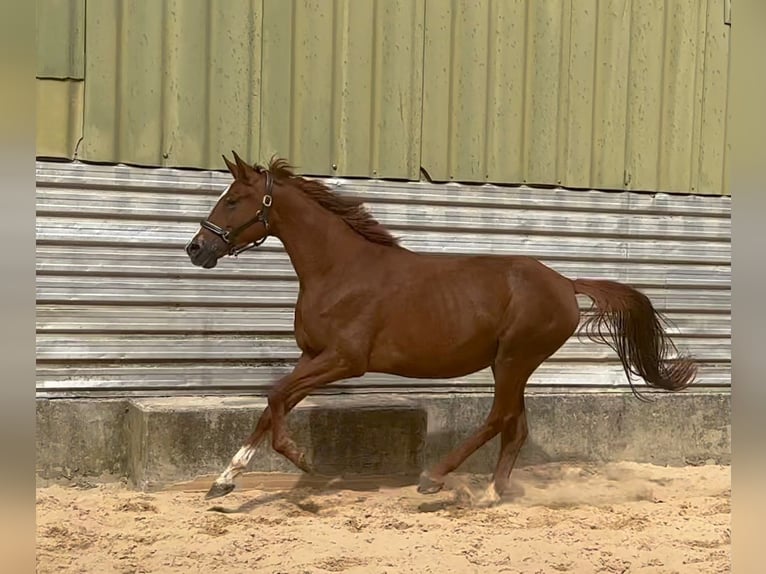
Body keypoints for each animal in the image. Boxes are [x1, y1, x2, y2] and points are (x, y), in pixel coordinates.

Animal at [184, 153, 696, 504]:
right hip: (512, 364)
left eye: (233, 200)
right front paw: (223, 483)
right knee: (515, 427)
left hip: (514, 359)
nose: (196, 249)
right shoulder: (313, 357)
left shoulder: (344, 360)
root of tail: (565, 283)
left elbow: (274, 398)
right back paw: (492, 494)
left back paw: (434, 479)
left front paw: (301, 459)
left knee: (498, 419)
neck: (339, 270)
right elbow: (271, 405)